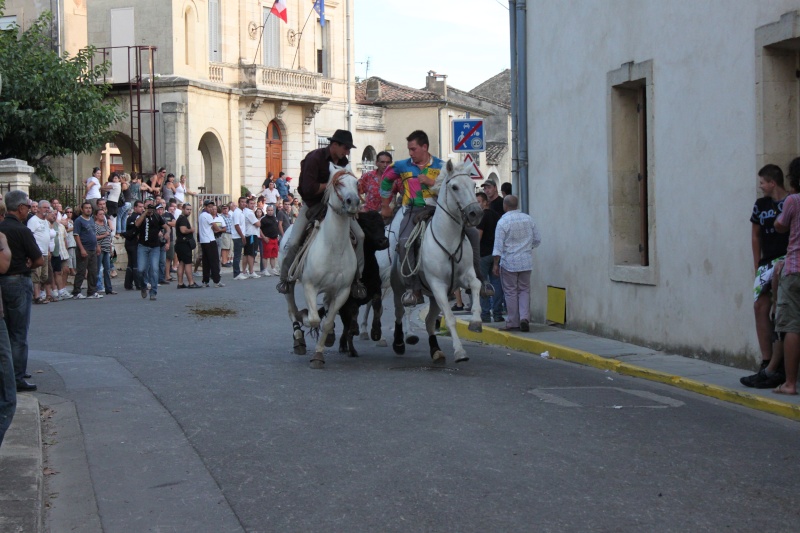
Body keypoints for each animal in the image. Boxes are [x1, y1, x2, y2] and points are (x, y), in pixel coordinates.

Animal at [278, 164, 360, 368]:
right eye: (338, 183)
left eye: (357, 183)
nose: (353, 202)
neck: (334, 246)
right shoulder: (309, 286)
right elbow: (313, 318)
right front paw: (305, 316)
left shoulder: (342, 291)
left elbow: (328, 321)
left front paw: (319, 353)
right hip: (289, 283)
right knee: (291, 308)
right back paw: (298, 338)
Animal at [396, 160, 484, 364]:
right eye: (455, 187)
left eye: (473, 185)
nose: (475, 213)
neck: (448, 239)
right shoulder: (438, 285)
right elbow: (450, 318)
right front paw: (460, 352)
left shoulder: (464, 276)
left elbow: (476, 284)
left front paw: (476, 321)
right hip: (397, 286)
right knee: (401, 311)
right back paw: (402, 340)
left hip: (431, 296)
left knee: (428, 321)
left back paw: (435, 351)